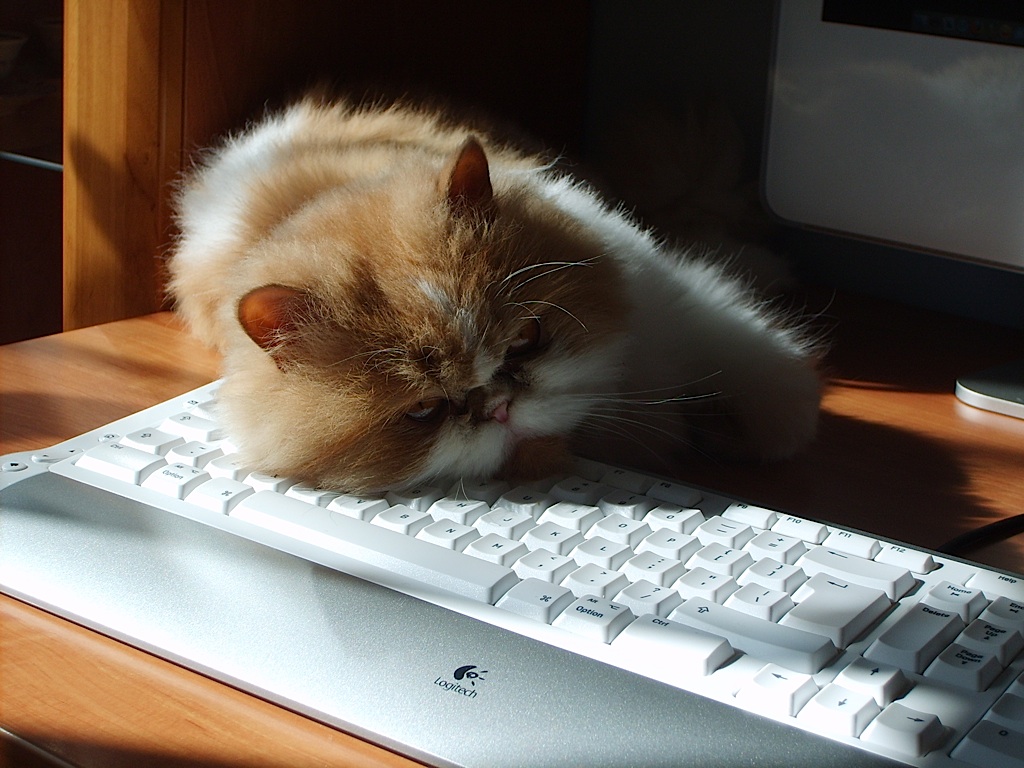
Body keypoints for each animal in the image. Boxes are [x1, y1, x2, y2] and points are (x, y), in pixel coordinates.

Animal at [169, 96, 823, 495]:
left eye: (527, 340)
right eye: (424, 411)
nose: (499, 406)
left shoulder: (674, 303)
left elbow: (753, 357)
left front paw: (773, 432)